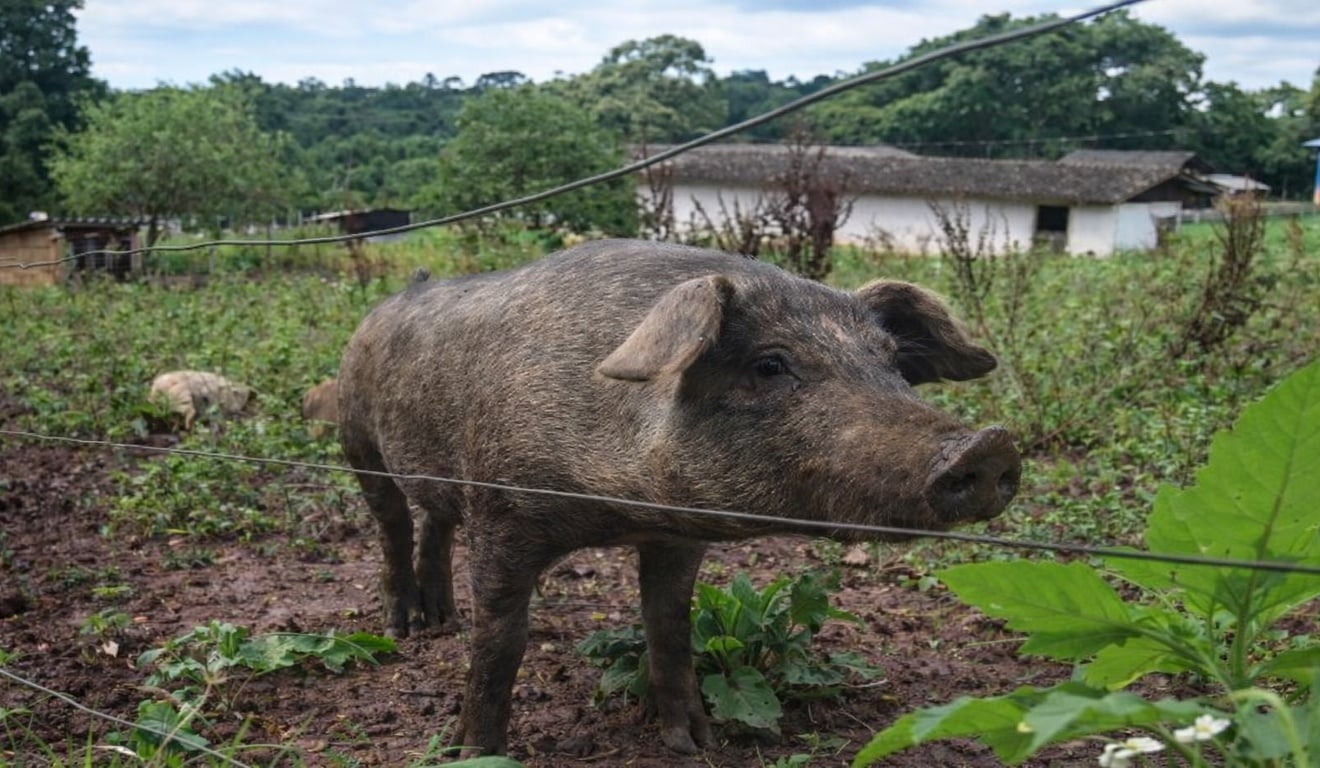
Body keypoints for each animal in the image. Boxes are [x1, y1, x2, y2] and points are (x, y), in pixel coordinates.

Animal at [336, 239, 1020, 756]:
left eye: (892, 364)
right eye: (770, 364)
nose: (988, 446)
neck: (621, 510)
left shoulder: (677, 535)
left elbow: (669, 627)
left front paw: (695, 743)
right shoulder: (503, 509)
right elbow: (501, 641)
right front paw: (473, 753)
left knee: (434, 519)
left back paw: (441, 620)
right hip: (356, 437)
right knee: (392, 523)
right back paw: (404, 627)